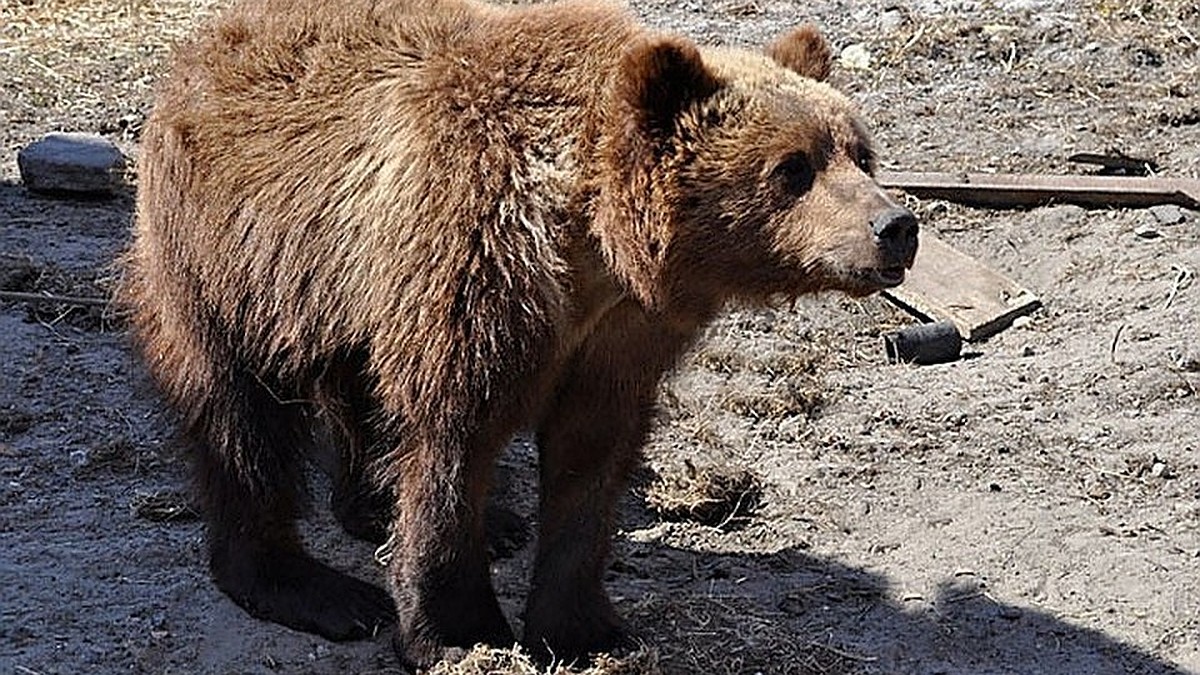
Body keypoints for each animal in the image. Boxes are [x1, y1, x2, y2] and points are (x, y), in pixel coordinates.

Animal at [121, 0, 916, 662]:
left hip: (347, 281)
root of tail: (200, 47)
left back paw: (394, 508)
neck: (585, 245)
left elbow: (591, 460)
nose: (896, 225)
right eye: (792, 167)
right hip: (232, 251)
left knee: (359, 389)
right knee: (239, 410)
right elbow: (452, 441)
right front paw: (456, 630)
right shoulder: (473, 268)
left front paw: (583, 627)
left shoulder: (620, 333)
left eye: (861, 152)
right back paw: (314, 587)